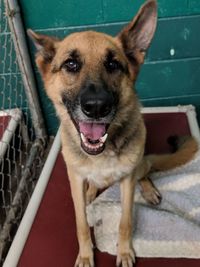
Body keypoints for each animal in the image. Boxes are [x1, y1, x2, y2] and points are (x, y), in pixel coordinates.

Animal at [28, 1, 198, 266]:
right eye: (71, 64)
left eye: (113, 65)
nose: (97, 106)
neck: (100, 154)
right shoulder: (75, 180)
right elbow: (80, 224)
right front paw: (86, 255)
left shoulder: (127, 182)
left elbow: (125, 222)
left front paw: (125, 252)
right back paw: (91, 192)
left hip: (139, 164)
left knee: (144, 172)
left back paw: (148, 189)